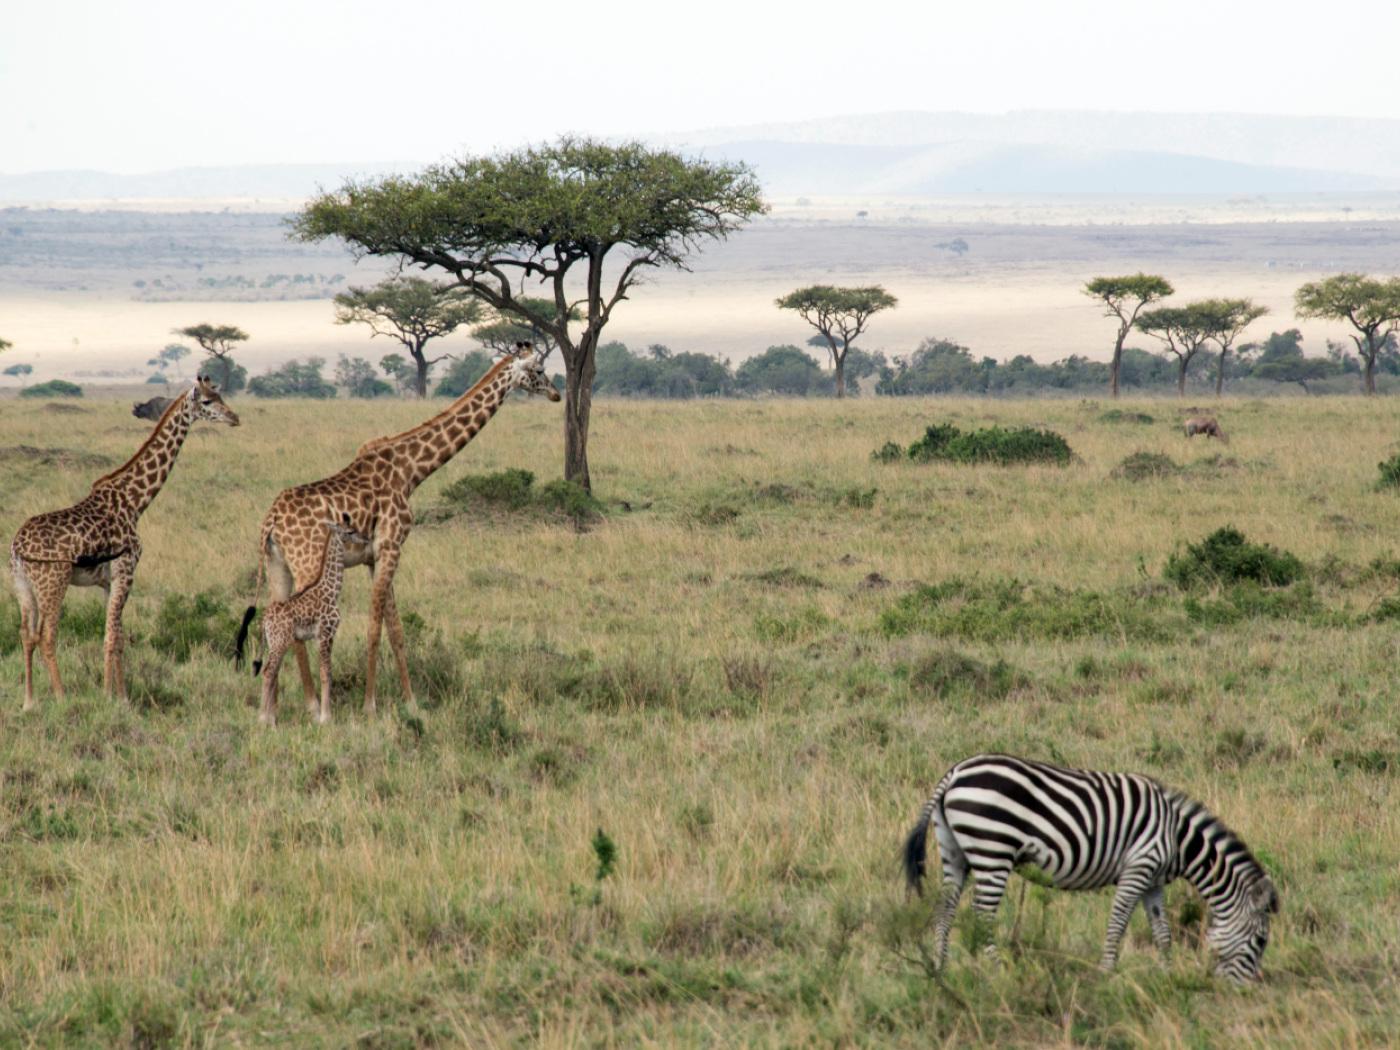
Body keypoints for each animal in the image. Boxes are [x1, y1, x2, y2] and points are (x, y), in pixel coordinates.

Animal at [903, 753, 1278, 982]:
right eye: (1261, 941)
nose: (1243, 990)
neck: (1176, 836)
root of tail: (955, 772)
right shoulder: (1138, 868)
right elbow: (1118, 924)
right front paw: (1107, 973)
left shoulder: (1153, 881)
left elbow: (1163, 932)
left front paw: (1167, 974)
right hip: (992, 849)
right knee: (982, 915)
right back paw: (999, 972)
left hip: (955, 852)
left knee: (945, 910)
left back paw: (939, 969)